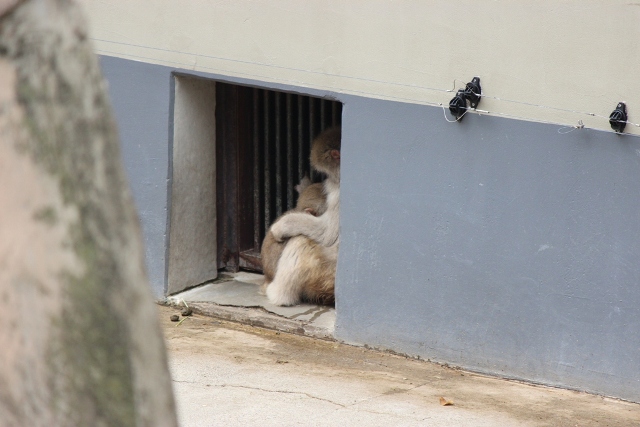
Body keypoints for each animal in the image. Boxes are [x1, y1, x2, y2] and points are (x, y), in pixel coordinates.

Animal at [262, 125, 340, 306]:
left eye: (326, 173)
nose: (327, 181)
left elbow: (327, 234)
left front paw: (279, 227)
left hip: (327, 275)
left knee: (301, 242)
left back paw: (278, 294)